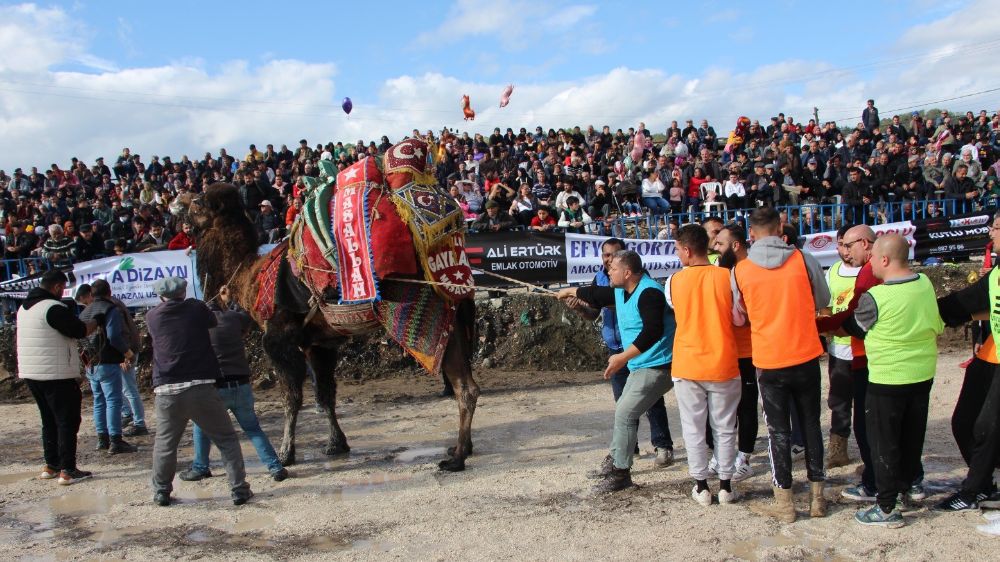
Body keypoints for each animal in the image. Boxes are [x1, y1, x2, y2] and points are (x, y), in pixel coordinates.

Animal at [188, 139, 484, 468]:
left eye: (197, 204)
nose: (183, 212)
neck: (252, 275)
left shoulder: (278, 336)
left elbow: (292, 398)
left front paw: (285, 453)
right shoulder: (319, 343)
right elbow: (325, 395)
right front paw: (336, 443)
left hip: (434, 313)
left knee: (464, 387)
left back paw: (457, 457)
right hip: (458, 313)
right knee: (466, 383)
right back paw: (461, 449)